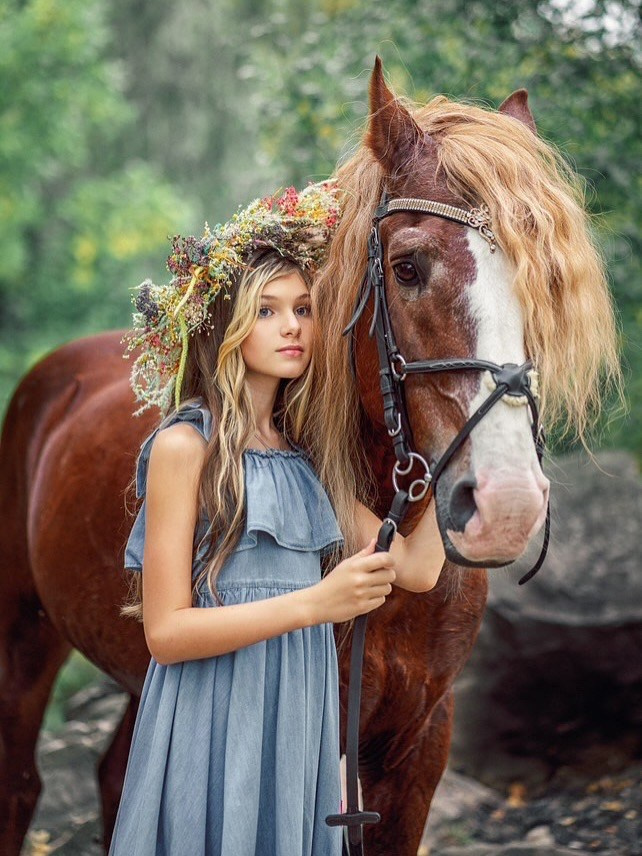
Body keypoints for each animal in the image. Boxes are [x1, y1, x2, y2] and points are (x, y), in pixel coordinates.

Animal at [0, 58, 619, 855]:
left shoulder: (420, 747)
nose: (507, 504)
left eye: (545, 276)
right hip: (21, 632)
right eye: (407, 267)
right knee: (19, 783)